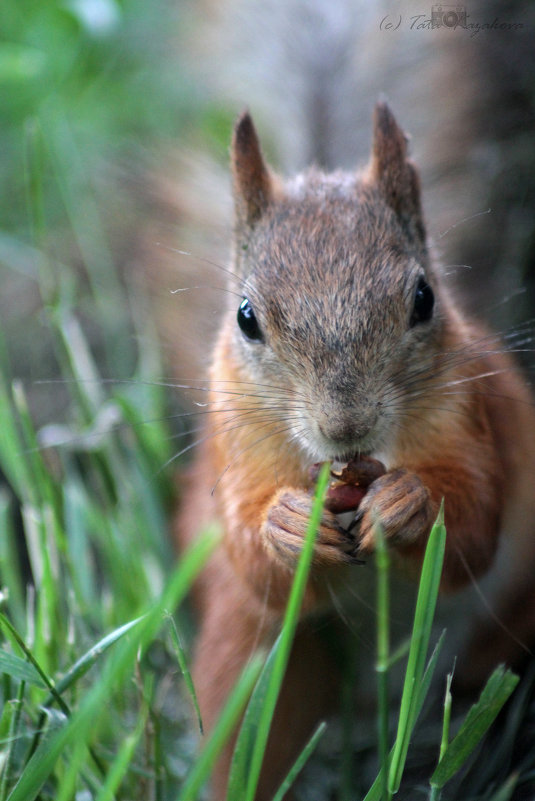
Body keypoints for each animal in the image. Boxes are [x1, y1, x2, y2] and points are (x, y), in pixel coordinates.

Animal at [177, 103, 535, 796]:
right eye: (246, 317)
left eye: (424, 298)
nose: (345, 427)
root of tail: (371, 705)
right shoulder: (238, 445)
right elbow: (250, 554)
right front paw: (288, 525)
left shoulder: (471, 416)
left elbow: (475, 527)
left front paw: (404, 504)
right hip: (251, 660)